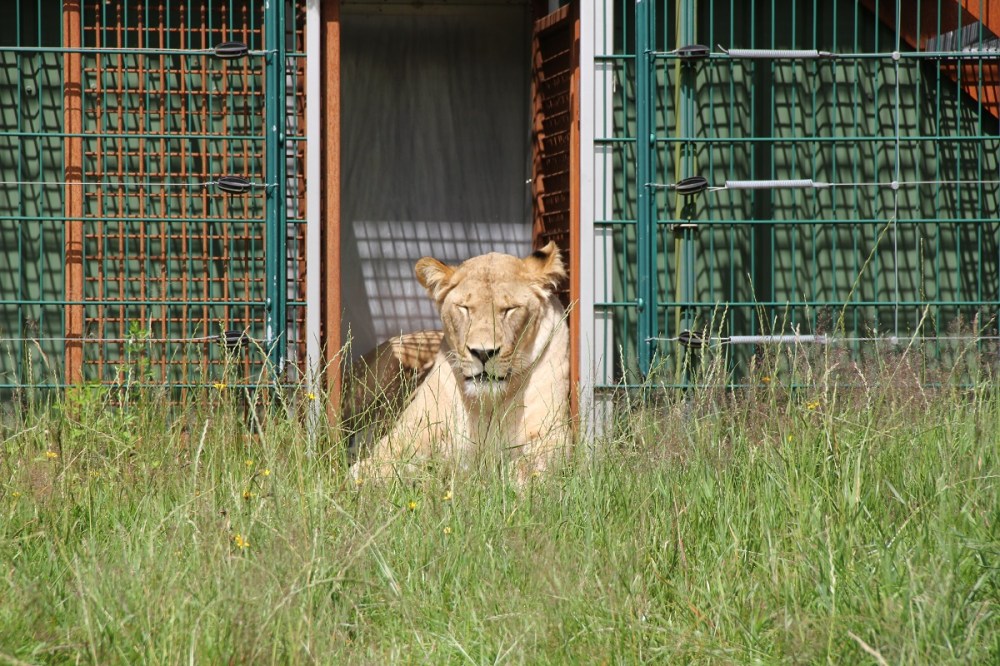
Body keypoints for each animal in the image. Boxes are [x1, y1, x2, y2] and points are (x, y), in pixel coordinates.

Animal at [350, 241, 572, 485]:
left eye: (509, 309)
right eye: (464, 308)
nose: (483, 353)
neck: (487, 404)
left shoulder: (551, 434)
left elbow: (530, 467)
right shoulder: (412, 428)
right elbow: (387, 456)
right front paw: (360, 477)